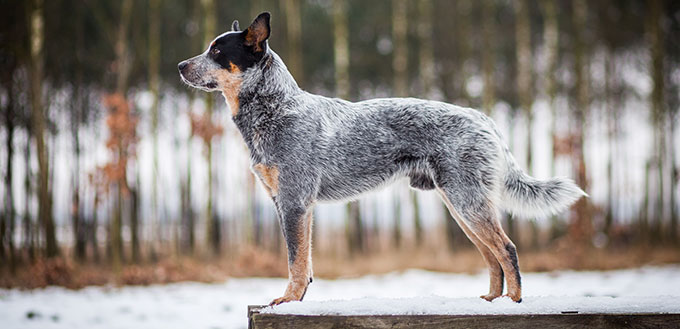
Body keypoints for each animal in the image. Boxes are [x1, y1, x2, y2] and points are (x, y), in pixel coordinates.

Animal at [178, 12, 588, 304]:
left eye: (217, 52)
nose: (181, 65)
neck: (276, 109)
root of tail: (483, 118)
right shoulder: (286, 202)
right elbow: (304, 262)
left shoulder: (294, 202)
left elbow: (295, 260)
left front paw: (288, 300)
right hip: (461, 205)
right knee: (491, 255)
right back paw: (491, 299)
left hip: (467, 202)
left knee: (507, 249)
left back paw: (513, 302)